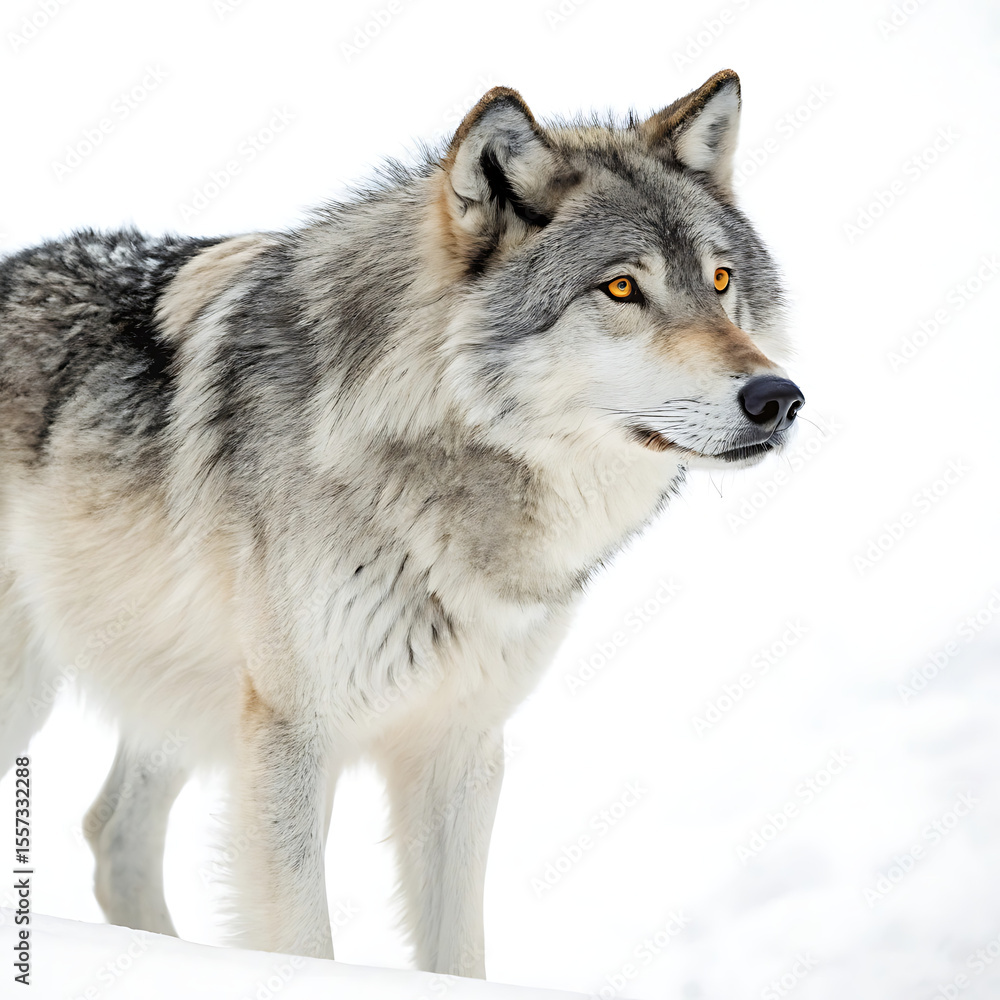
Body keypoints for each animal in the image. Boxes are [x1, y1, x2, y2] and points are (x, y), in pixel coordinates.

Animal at [0, 69, 803, 976]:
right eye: (623, 288)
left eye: (722, 280)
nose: (778, 398)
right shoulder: (293, 735)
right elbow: (304, 942)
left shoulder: (458, 746)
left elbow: (458, 953)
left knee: (113, 832)